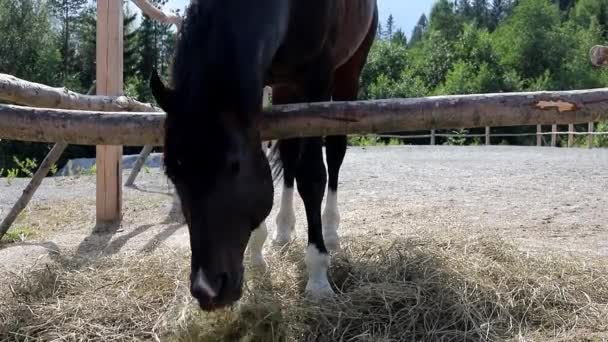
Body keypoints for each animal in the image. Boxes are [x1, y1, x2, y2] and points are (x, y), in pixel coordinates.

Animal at [150, 0, 378, 310]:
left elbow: (312, 177)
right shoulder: (261, 81)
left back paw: (331, 232)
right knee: (290, 155)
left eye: (234, 165)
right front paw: (257, 255)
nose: (207, 290)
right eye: (172, 173)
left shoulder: (318, 77)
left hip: (348, 73)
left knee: (334, 153)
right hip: (286, 88)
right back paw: (283, 231)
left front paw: (318, 278)